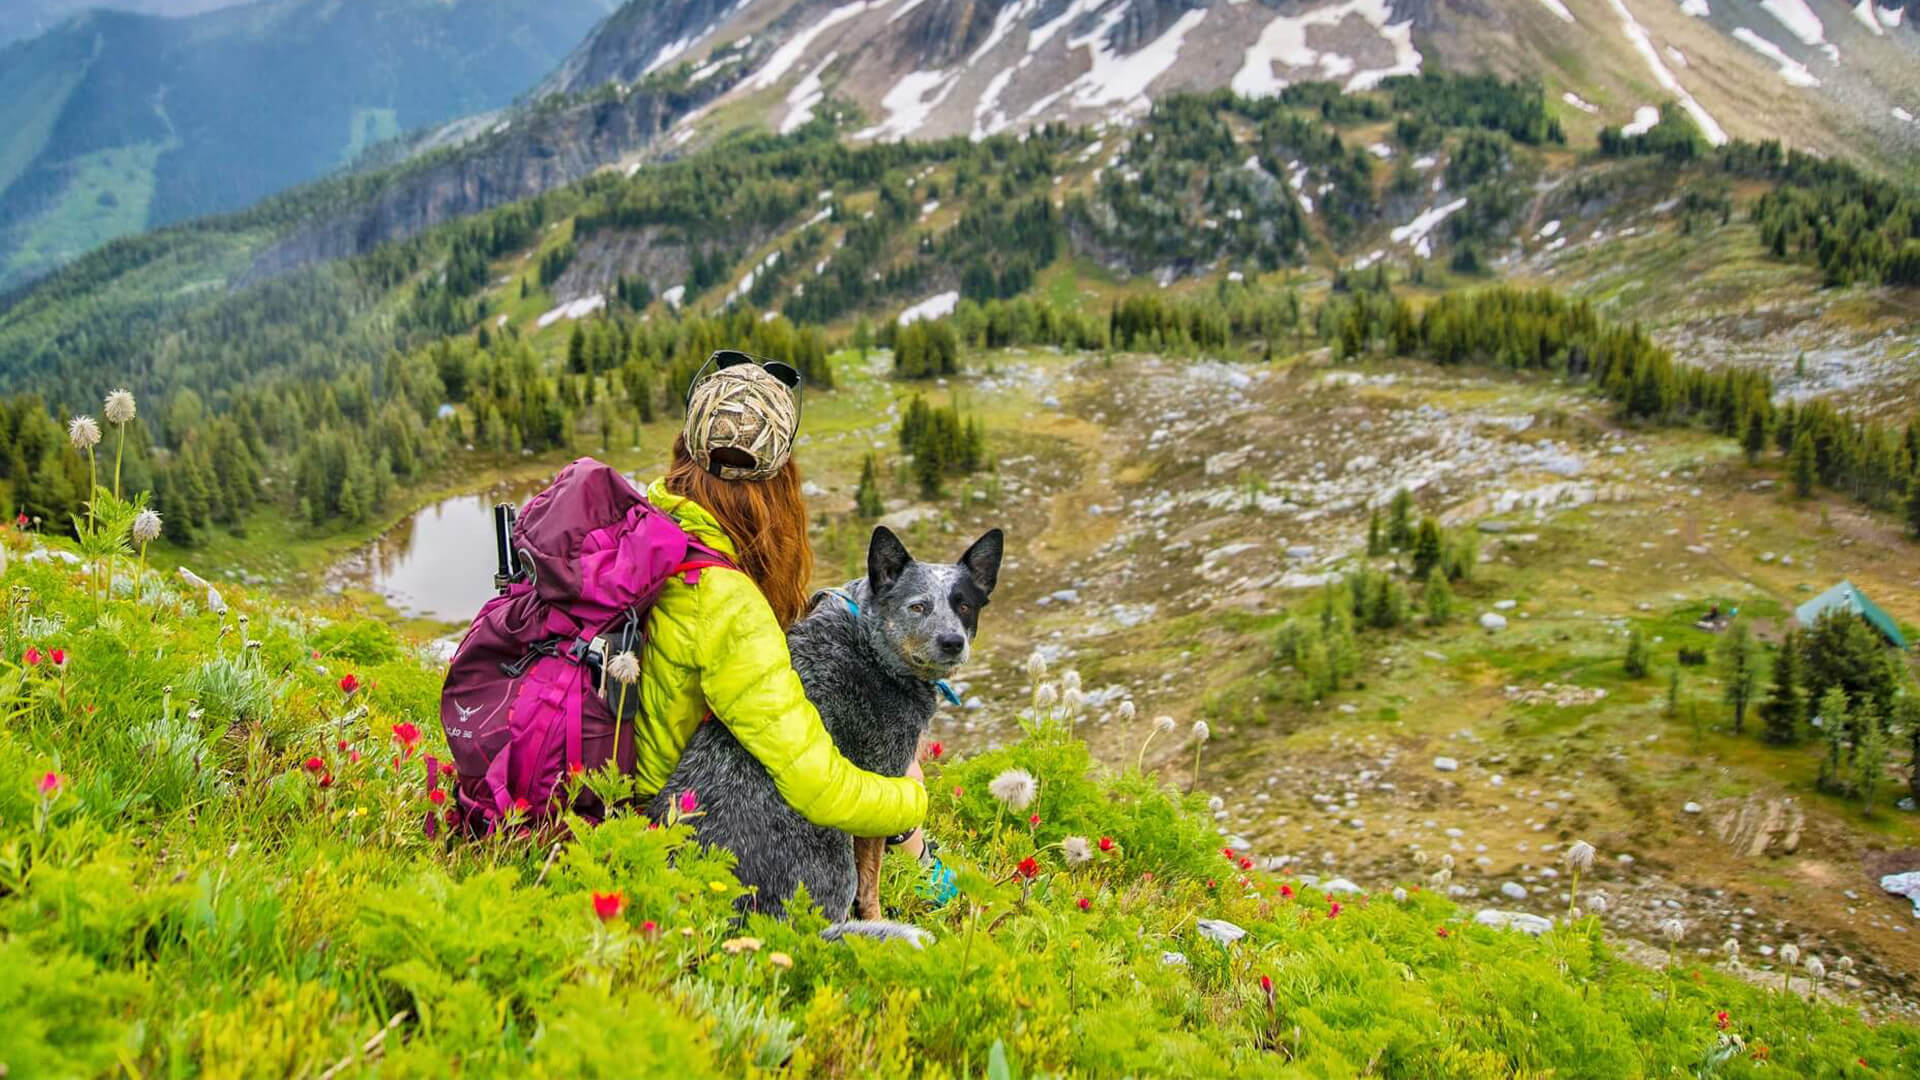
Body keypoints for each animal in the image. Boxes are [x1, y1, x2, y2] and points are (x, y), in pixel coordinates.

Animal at [648, 526, 1006, 930]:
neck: (873, 647)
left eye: (964, 606)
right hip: (833, 862)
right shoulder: (883, 782)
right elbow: (870, 884)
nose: (952, 642)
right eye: (918, 606)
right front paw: (877, 916)